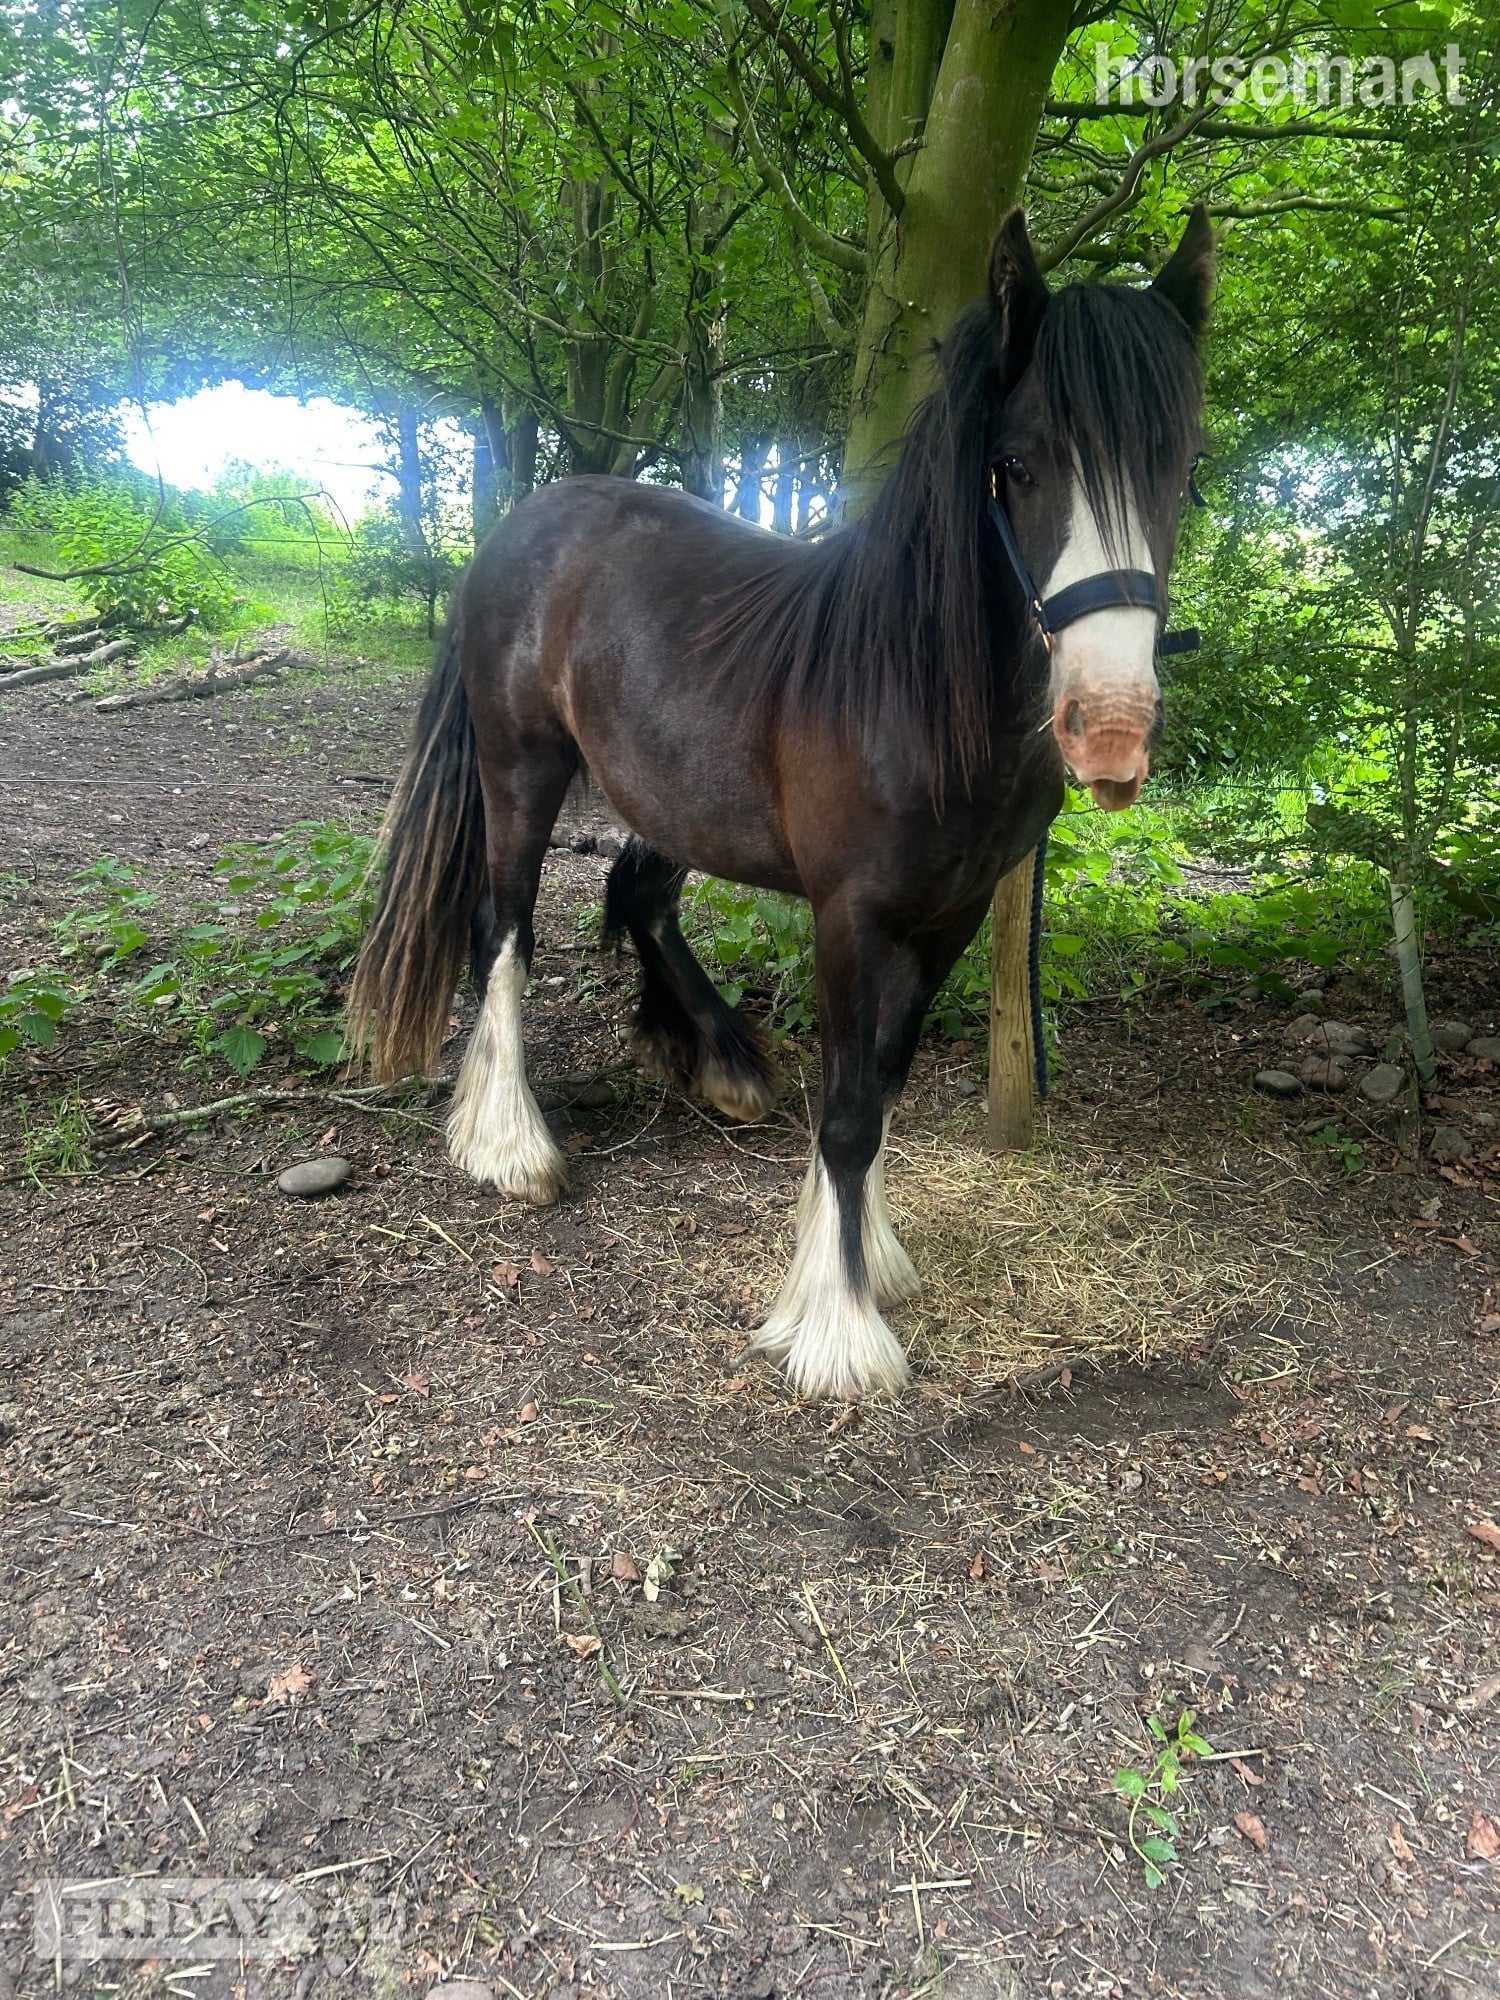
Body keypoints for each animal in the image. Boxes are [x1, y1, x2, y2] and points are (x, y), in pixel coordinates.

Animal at [347, 206, 1214, 1402]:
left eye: (1185, 468)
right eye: (1017, 464)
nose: (1113, 731)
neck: (915, 688)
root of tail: (528, 519)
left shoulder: (947, 919)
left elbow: (881, 1088)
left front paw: (868, 1258)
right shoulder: (852, 916)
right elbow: (848, 1114)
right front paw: (838, 1329)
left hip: (674, 797)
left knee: (638, 891)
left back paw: (721, 1061)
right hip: (520, 767)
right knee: (504, 929)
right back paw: (510, 1144)